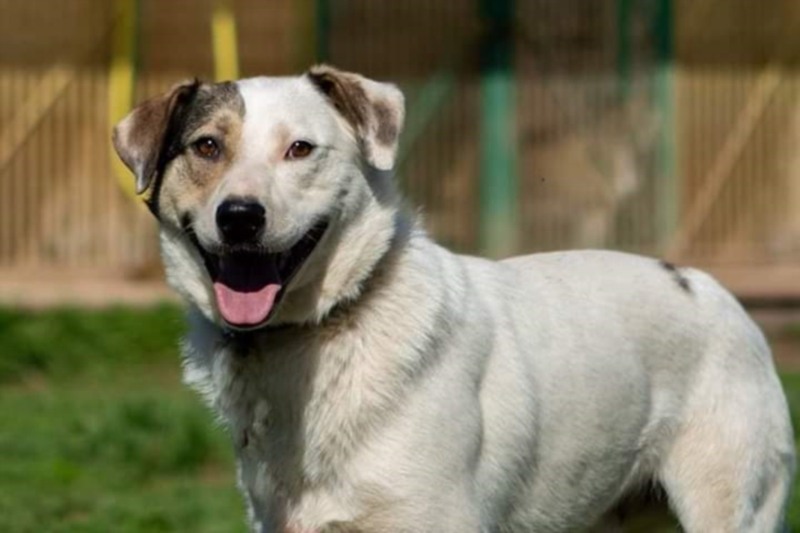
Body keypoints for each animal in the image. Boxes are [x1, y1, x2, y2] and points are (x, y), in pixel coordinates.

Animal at [113, 66, 795, 533]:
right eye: (206, 146)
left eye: (300, 149)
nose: (239, 217)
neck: (331, 328)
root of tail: (708, 285)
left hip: (729, 505)